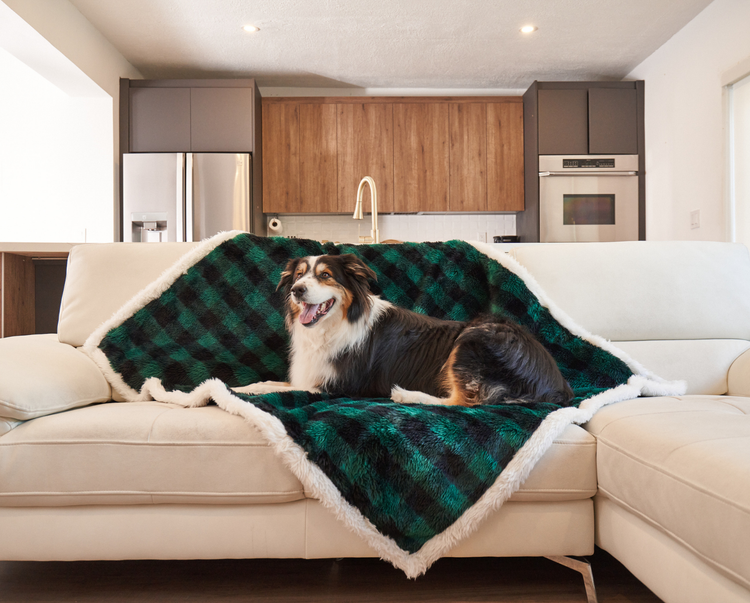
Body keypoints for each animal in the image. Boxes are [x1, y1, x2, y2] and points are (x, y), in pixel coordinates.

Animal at [236, 252, 576, 408]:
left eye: (325, 275)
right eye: (299, 275)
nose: (297, 290)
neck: (336, 325)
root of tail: (556, 383)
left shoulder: (340, 386)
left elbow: (282, 389)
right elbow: (271, 383)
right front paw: (242, 386)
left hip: (474, 339)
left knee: (463, 403)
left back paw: (405, 394)